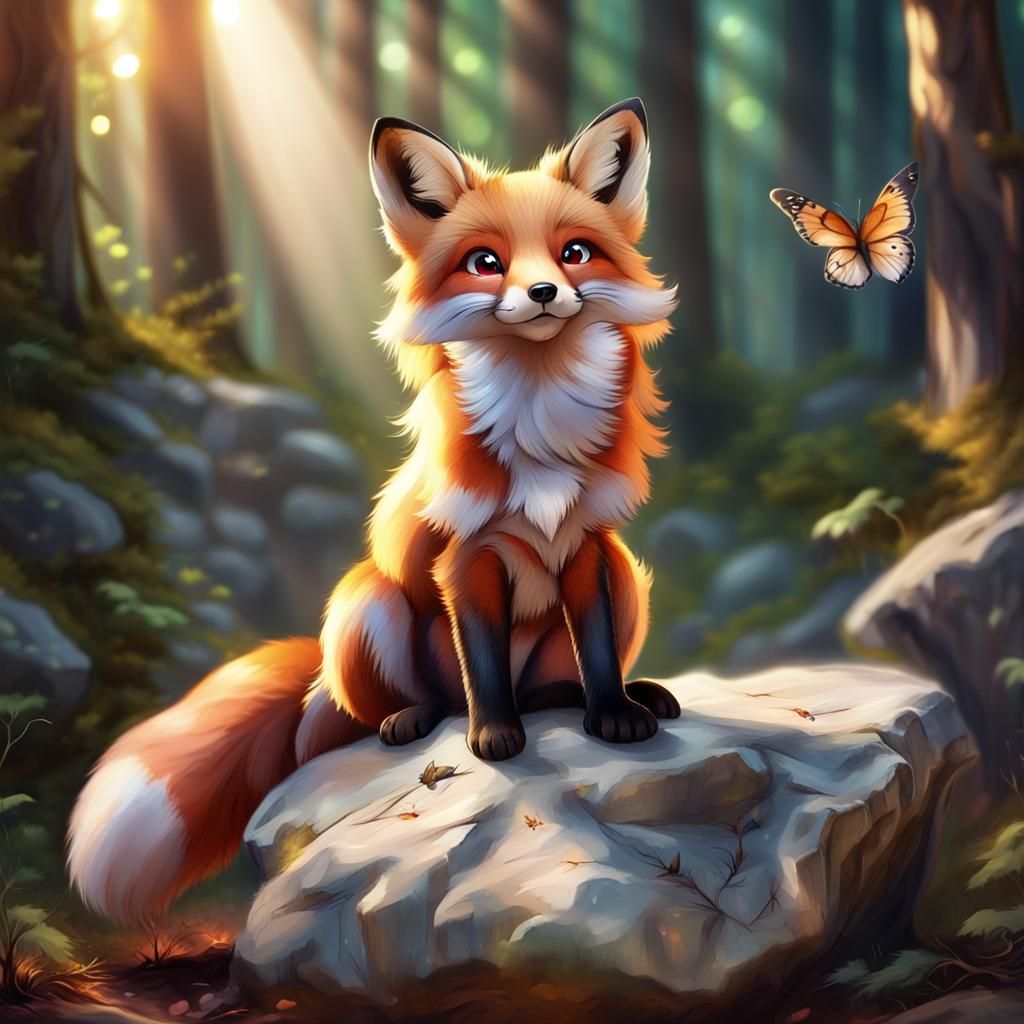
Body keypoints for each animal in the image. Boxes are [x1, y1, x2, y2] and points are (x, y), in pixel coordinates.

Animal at [67, 98, 681, 922]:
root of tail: (316, 691)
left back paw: (584, 697)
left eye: (575, 253)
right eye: (485, 262)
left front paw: (612, 711)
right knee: (418, 704)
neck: (539, 430)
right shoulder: (465, 559)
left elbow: (599, 649)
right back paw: (411, 721)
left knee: (545, 686)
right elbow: (483, 666)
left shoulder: (589, 546)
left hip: (628, 576)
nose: (545, 294)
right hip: (368, 604)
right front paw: (495, 736)